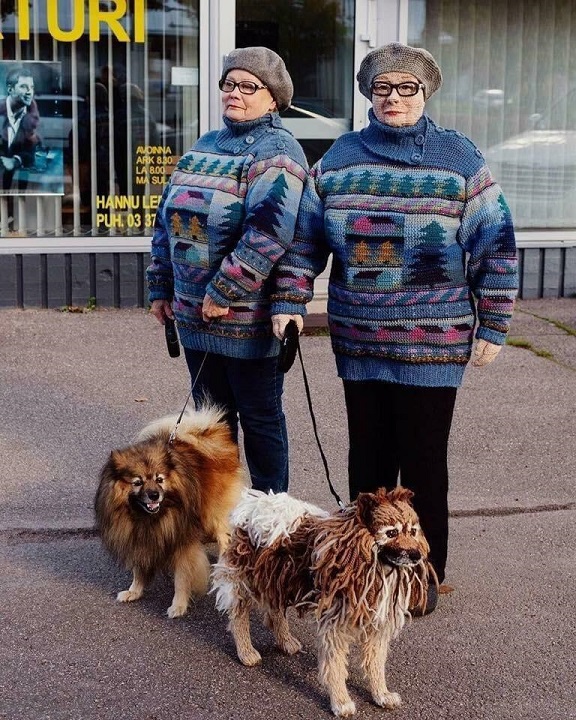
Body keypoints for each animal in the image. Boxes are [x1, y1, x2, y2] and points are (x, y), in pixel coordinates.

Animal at [94, 404, 245, 620]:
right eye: (137, 482)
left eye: (159, 479)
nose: (154, 495)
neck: (148, 519)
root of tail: (210, 433)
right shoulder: (139, 539)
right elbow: (139, 569)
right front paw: (134, 591)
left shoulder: (182, 541)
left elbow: (182, 578)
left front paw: (178, 605)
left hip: (216, 513)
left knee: (225, 538)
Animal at [212, 486, 432, 716]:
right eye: (391, 533)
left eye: (413, 531)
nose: (416, 555)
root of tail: (253, 504)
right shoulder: (334, 624)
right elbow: (335, 665)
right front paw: (341, 701)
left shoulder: (377, 624)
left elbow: (376, 663)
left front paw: (381, 693)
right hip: (246, 580)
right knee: (239, 615)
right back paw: (246, 651)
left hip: (277, 577)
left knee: (275, 611)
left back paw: (285, 640)